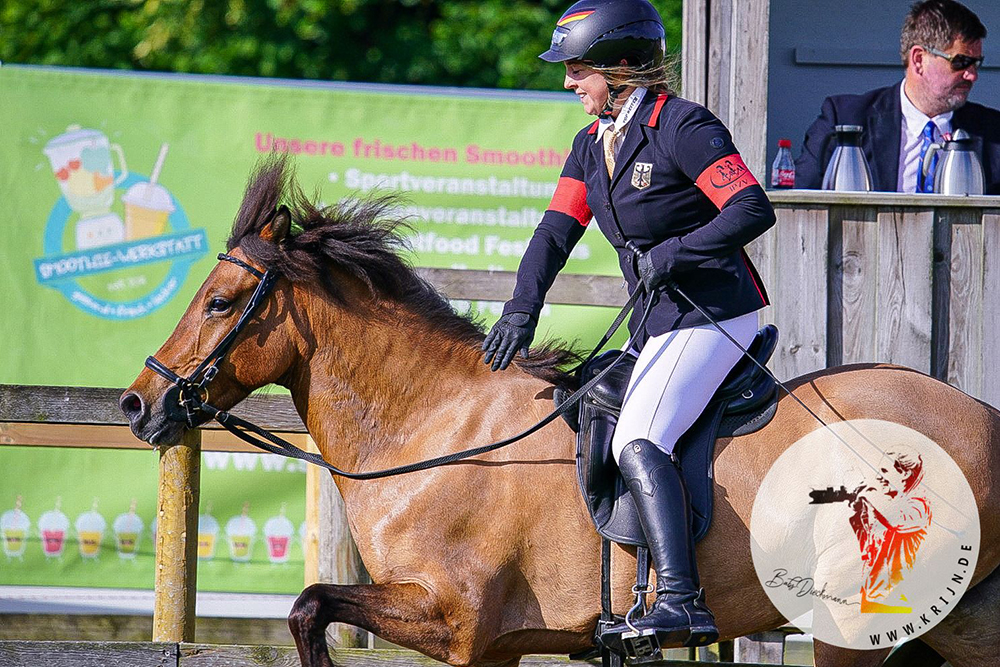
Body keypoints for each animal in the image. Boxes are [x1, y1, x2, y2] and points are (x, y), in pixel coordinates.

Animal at [123, 163, 1000, 667]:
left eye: (221, 301)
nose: (141, 402)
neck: (436, 428)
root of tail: (981, 413)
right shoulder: (494, 648)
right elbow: (310, 608)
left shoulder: (452, 618)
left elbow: (309, 605)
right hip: (960, 619)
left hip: (847, 623)